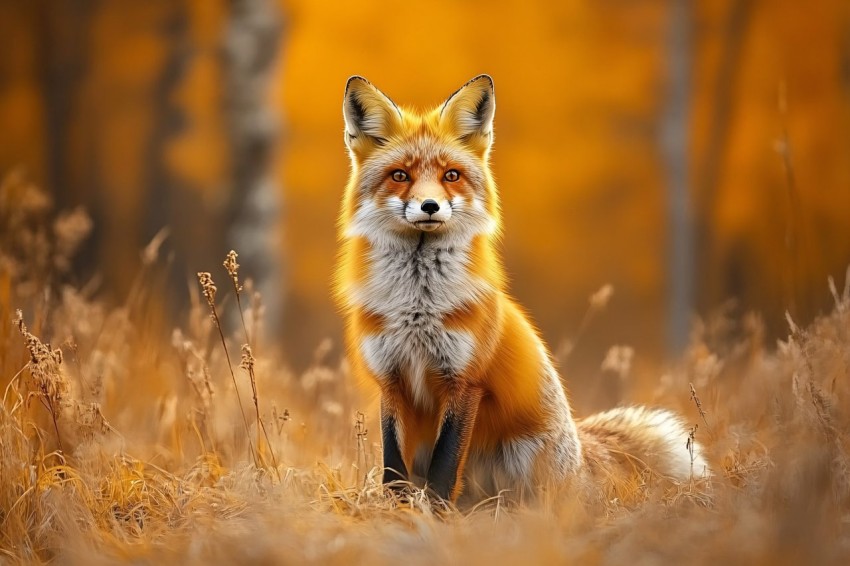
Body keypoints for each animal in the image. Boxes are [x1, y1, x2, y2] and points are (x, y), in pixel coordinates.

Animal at [332, 75, 708, 506]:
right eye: (400, 175)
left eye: (451, 176)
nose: (429, 206)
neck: (418, 305)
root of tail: (581, 452)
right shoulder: (391, 381)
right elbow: (393, 469)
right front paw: (398, 513)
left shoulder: (465, 381)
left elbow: (445, 467)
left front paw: (436, 516)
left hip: (525, 456)